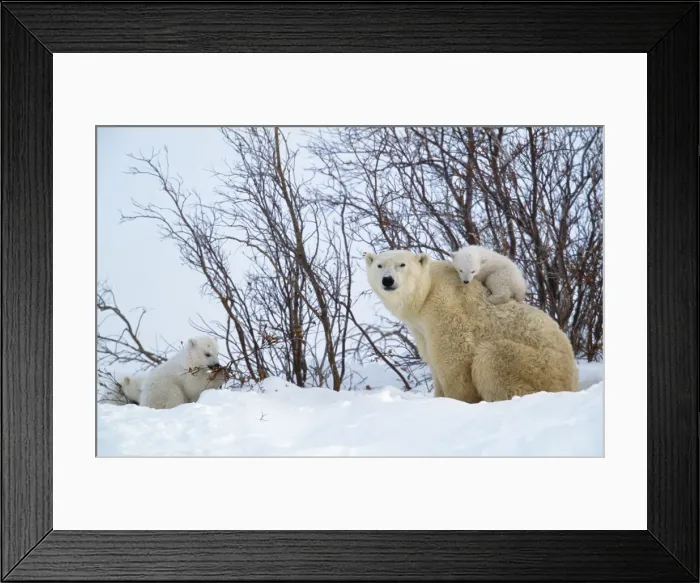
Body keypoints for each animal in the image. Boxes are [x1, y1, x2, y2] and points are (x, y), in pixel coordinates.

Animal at [364, 249, 577, 403]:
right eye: (379, 265)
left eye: (402, 264)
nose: (388, 280)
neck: (426, 293)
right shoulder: (420, 329)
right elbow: (432, 359)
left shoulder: (445, 307)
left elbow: (454, 360)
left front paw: (457, 401)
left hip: (542, 367)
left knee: (492, 358)